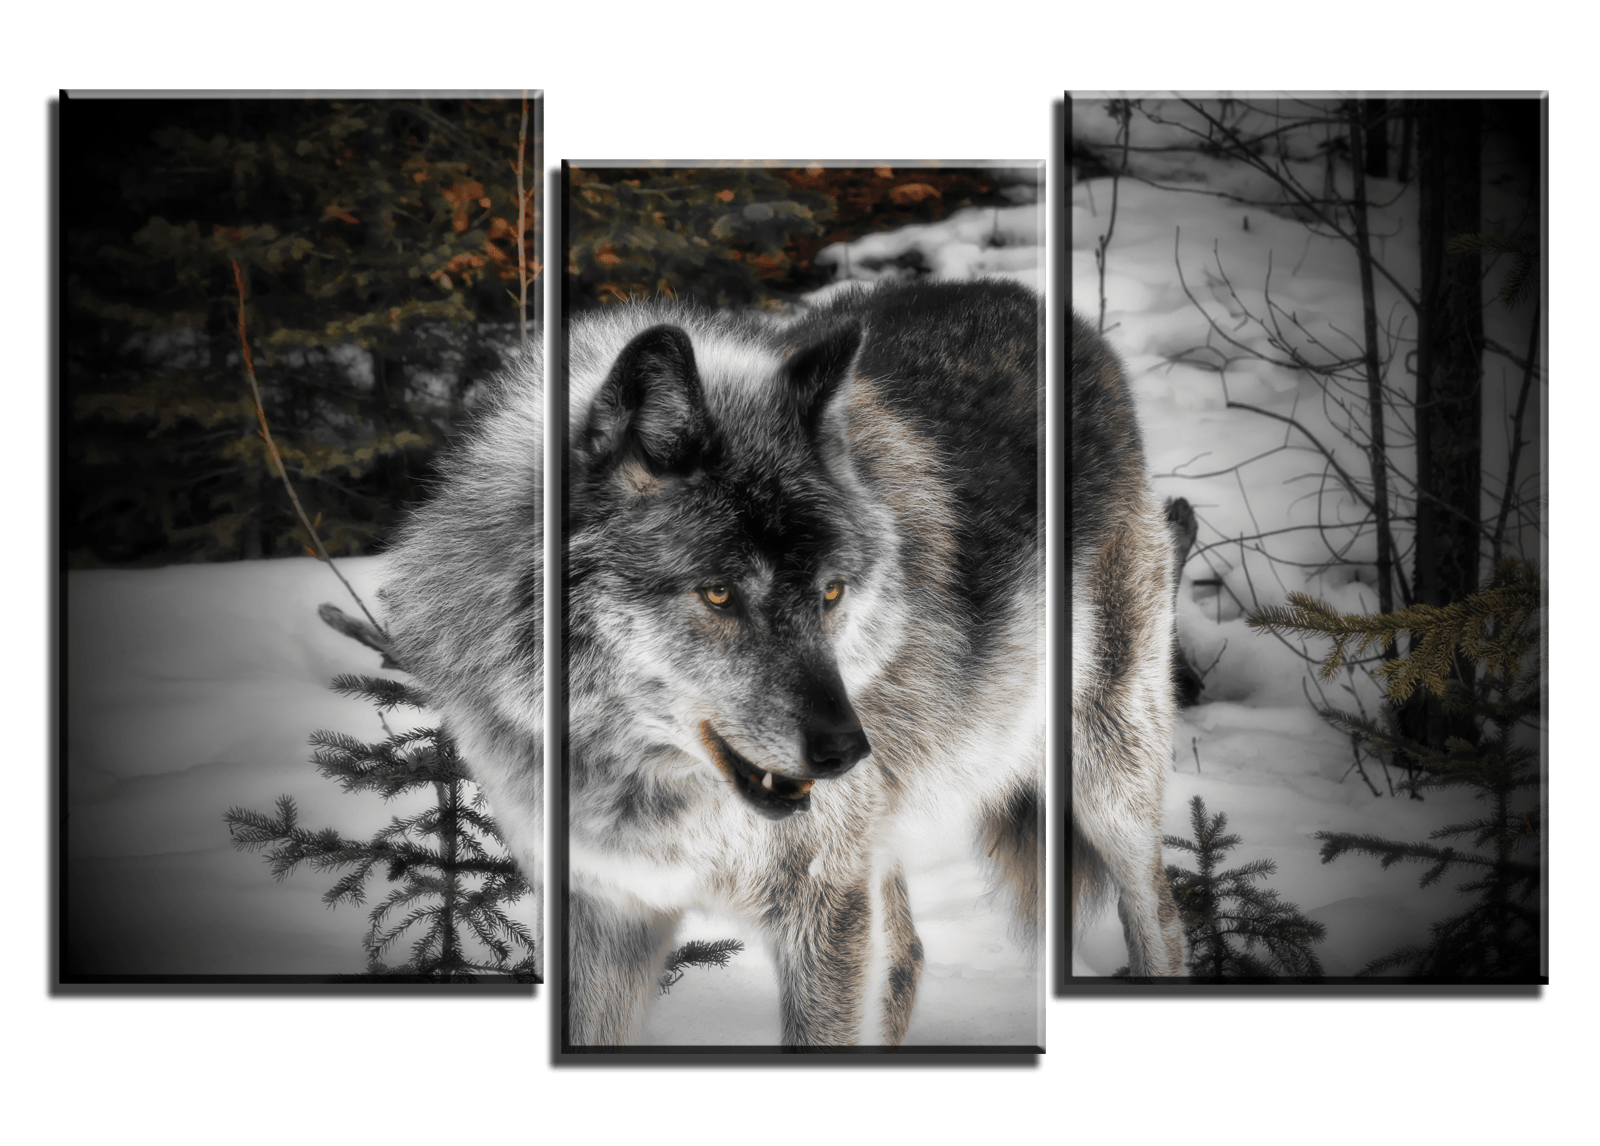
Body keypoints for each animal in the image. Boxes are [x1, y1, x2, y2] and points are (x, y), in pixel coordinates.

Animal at [385, 278, 1043, 1045]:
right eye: (720, 593)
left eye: (831, 592)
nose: (848, 751)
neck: (648, 792)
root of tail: (1016, 294)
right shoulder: (598, 909)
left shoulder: (826, 909)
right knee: (907, 955)